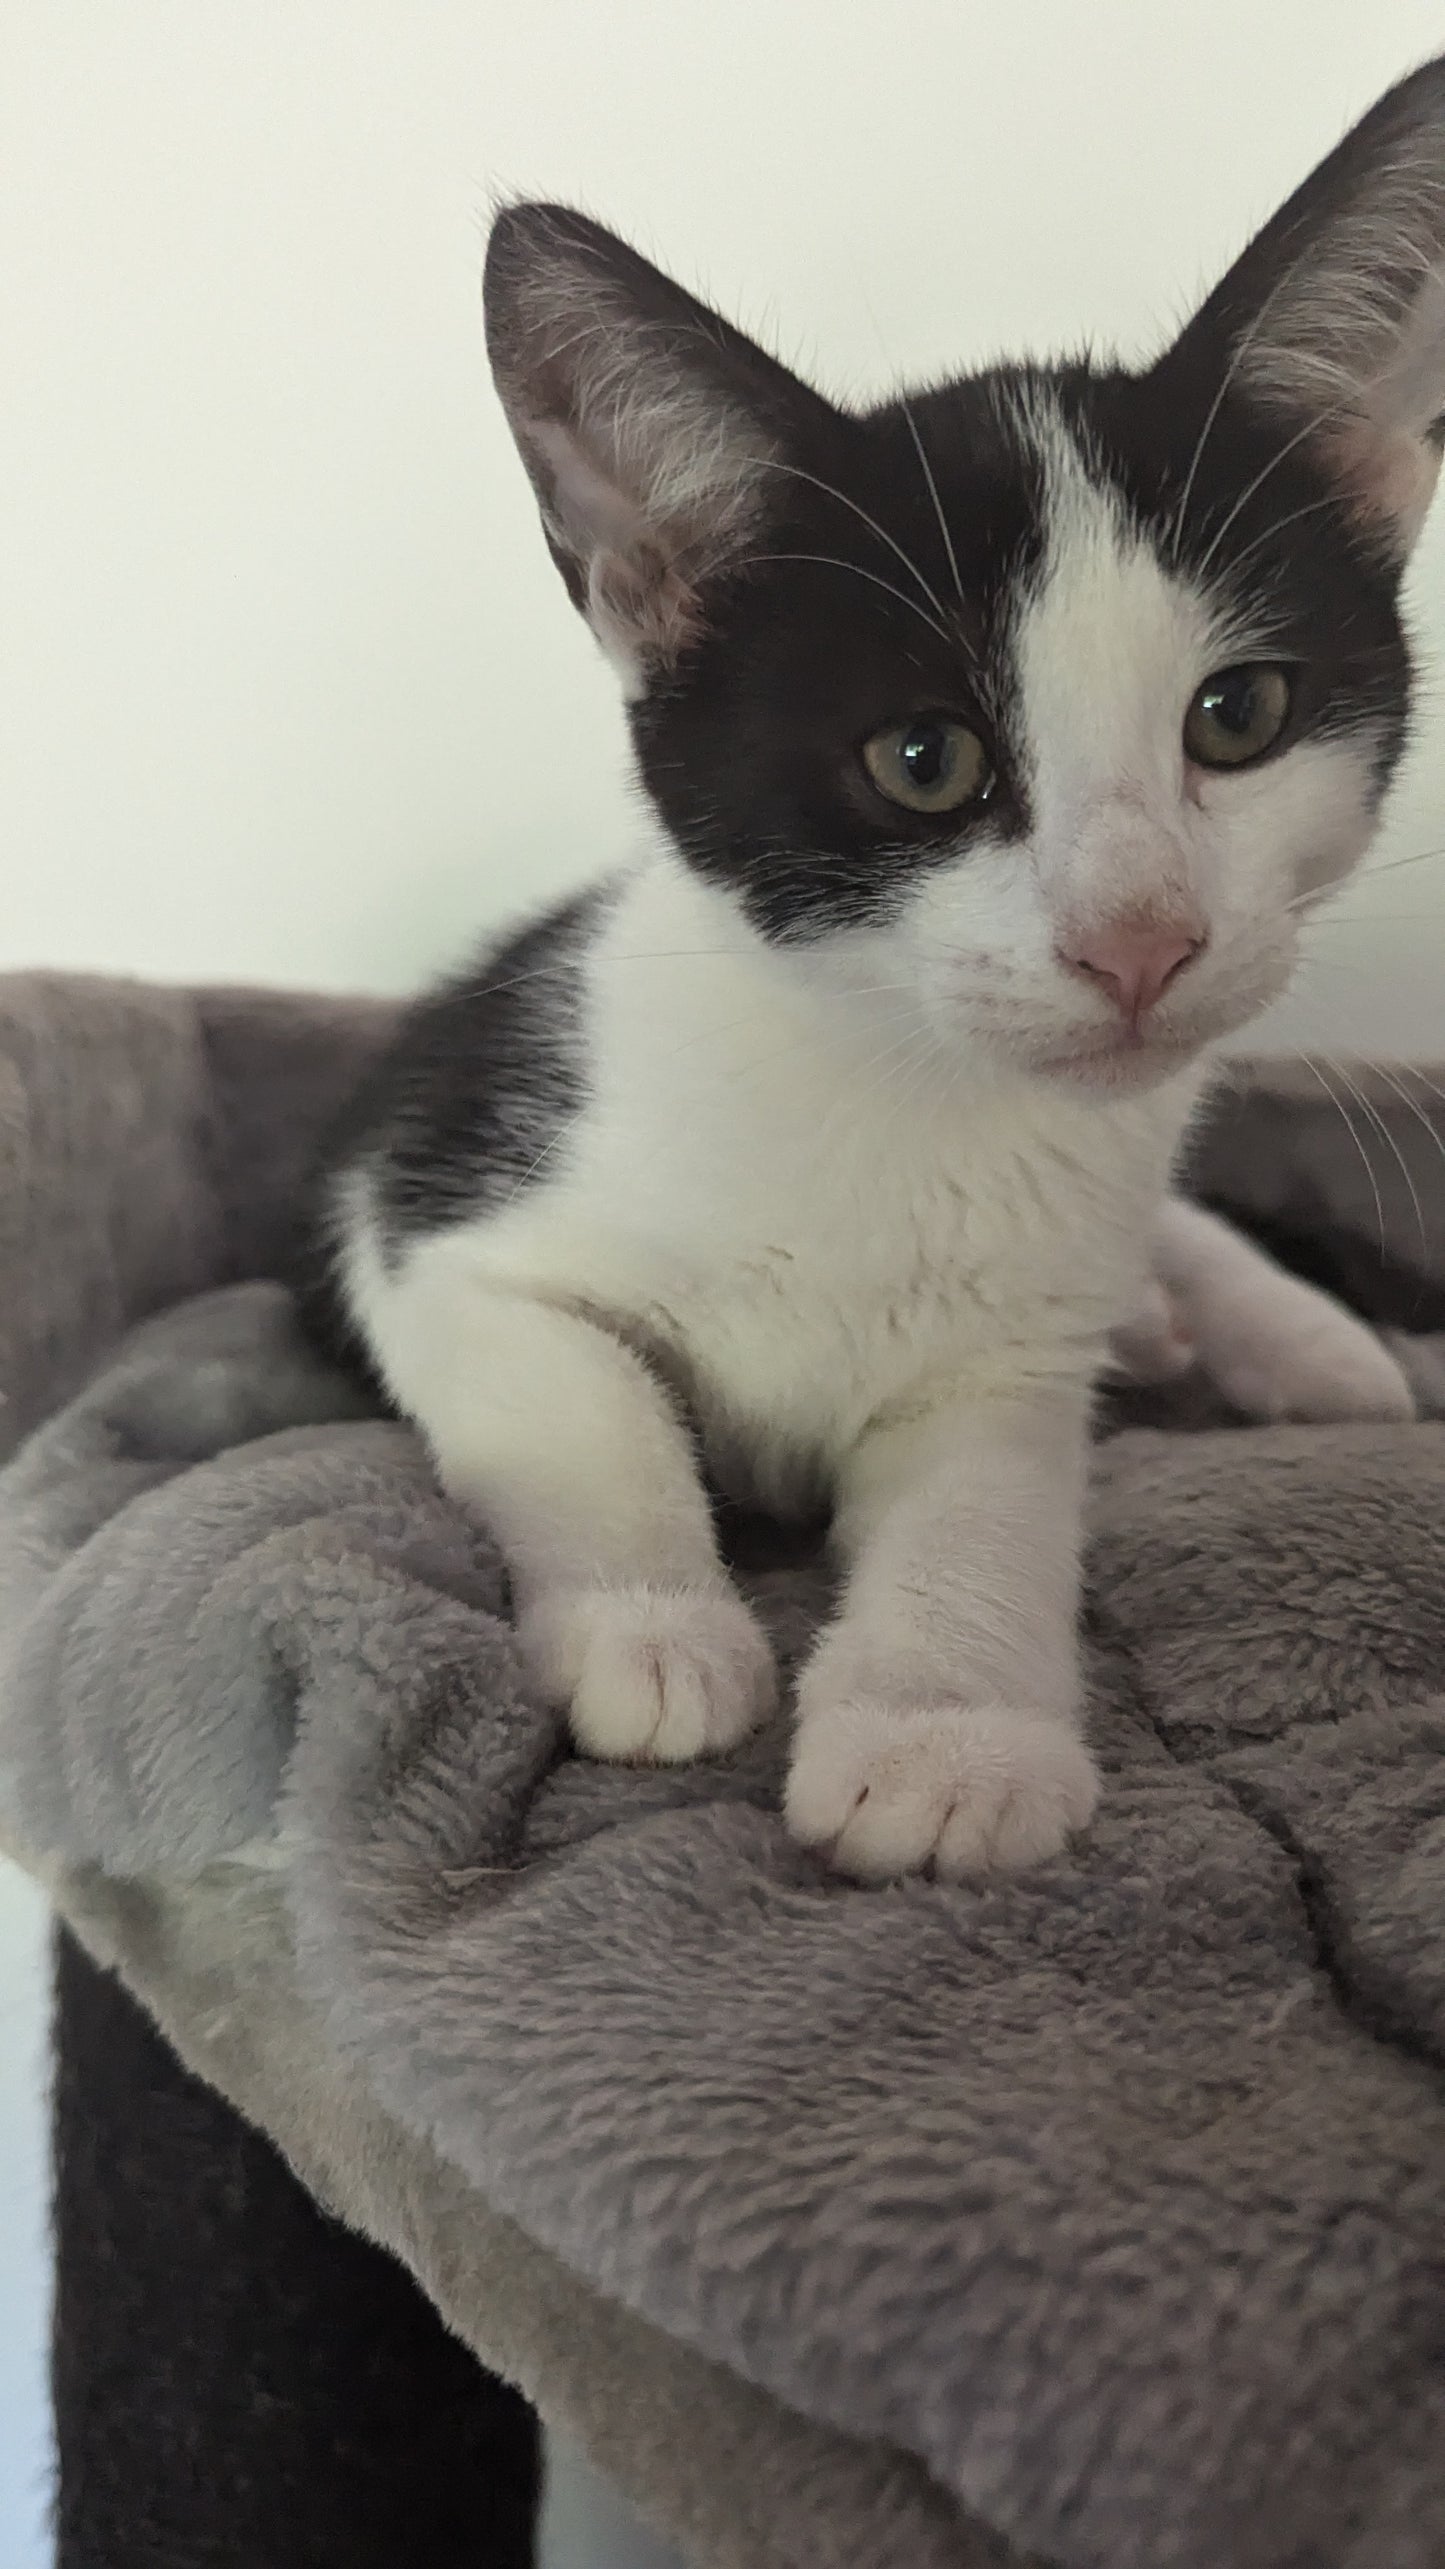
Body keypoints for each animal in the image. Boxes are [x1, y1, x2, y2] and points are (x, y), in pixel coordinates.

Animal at [320, 70, 1429, 1890]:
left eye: (1240, 716)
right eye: (924, 759)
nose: (1140, 939)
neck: (899, 1081)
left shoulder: (1020, 1345)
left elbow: (988, 1491)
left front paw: (942, 1732)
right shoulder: (421, 1210)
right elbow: (578, 1400)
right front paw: (651, 1630)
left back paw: (1300, 1339)